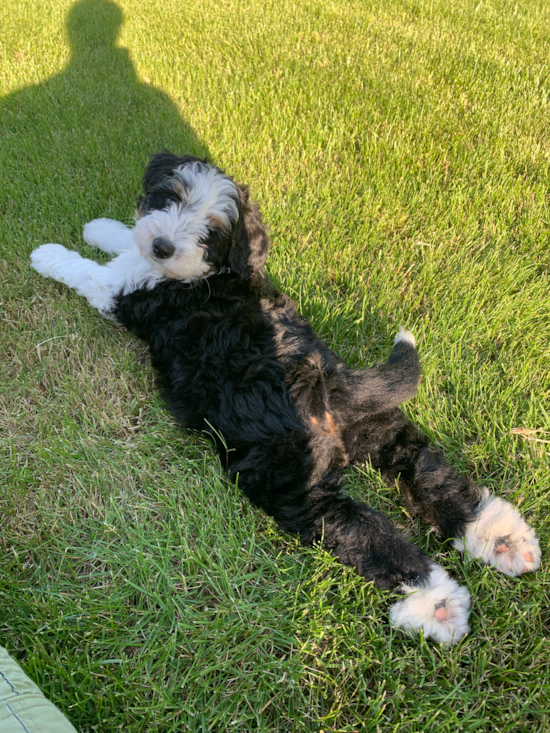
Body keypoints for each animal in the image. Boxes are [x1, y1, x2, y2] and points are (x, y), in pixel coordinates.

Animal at [31, 152, 544, 644]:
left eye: (210, 233)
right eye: (170, 197)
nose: (161, 247)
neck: (209, 274)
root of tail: (327, 379)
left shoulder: (121, 292)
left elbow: (85, 271)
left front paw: (50, 253)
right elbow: (124, 238)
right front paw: (104, 228)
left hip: (289, 481)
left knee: (362, 534)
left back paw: (435, 602)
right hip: (378, 427)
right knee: (427, 471)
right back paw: (499, 535)